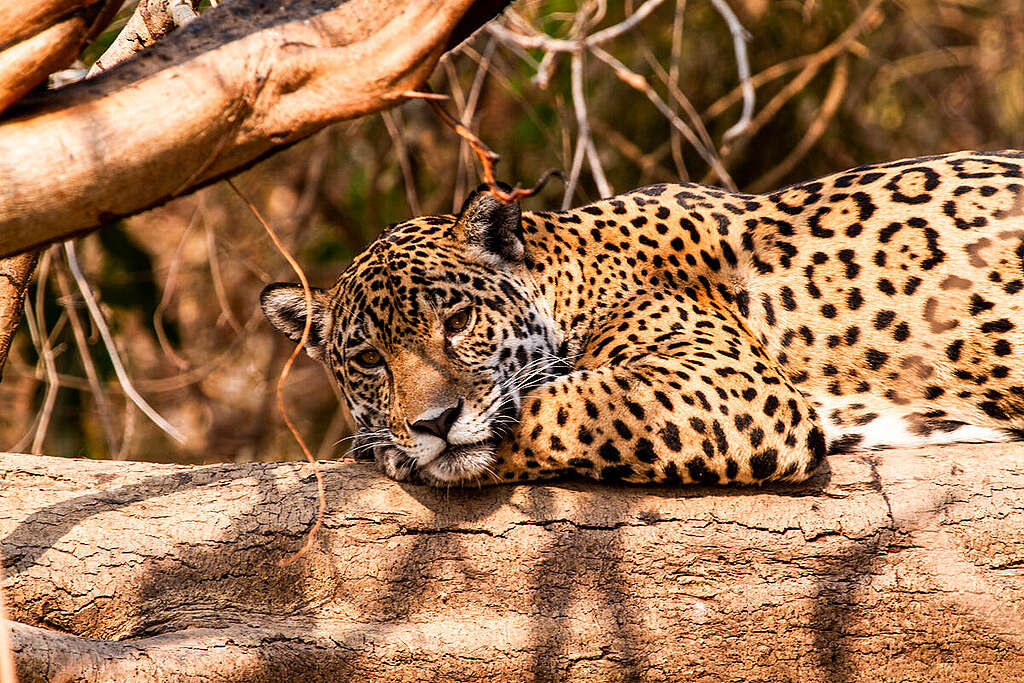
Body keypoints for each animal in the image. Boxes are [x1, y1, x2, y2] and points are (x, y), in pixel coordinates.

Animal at [261, 150, 1024, 488]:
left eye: (456, 318)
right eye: (369, 359)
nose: (433, 422)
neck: (571, 272)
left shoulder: (729, 384)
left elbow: (557, 403)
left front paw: (401, 451)